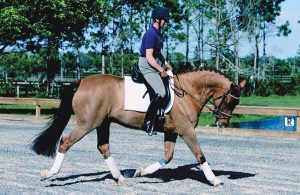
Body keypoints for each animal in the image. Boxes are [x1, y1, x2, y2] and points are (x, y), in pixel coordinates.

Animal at [29, 68, 246, 186]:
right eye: (230, 101)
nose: (223, 123)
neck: (187, 92)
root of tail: (81, 81)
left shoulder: (172, 132)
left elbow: (167, 157)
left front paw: (141, 172)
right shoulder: (186, 131)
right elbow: (200, 155)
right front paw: (215, 180)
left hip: (102, 123)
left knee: (103, 147)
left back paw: (120, 178)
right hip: (87, 124)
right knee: (65, 142)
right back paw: (49, 174)